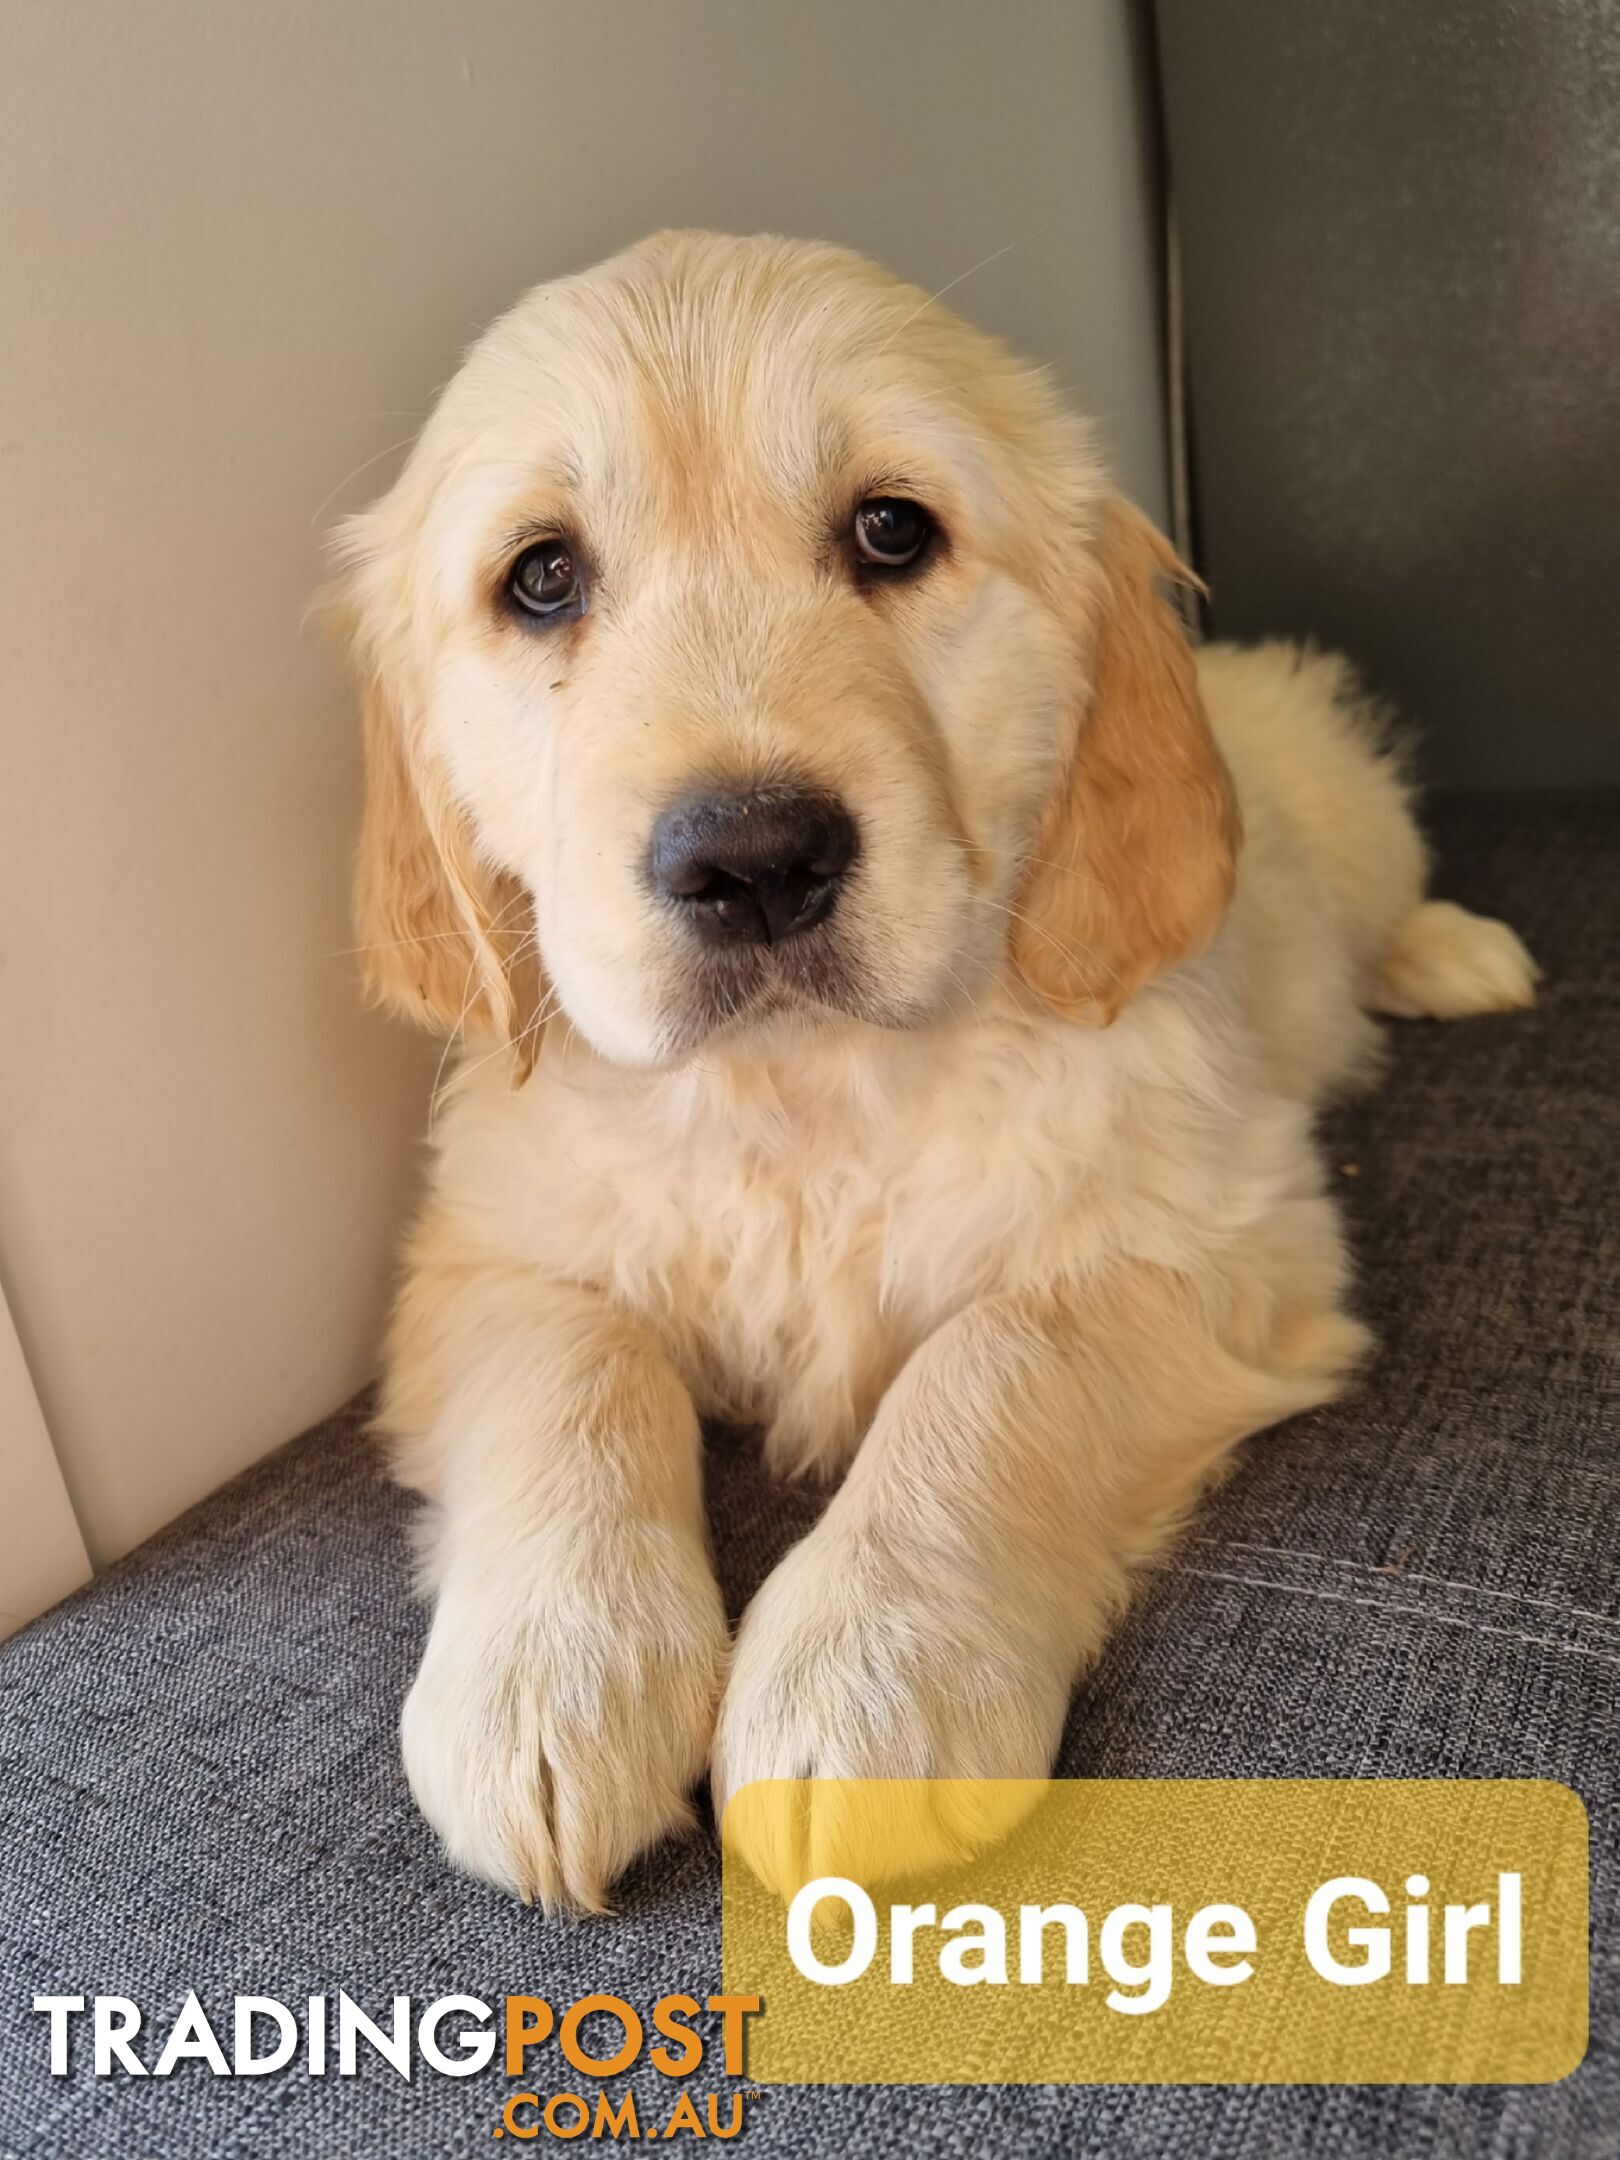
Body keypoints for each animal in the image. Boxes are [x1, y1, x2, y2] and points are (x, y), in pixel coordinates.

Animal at [339, 227, 1537, 1909]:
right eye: (543, 577)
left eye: (892, 531)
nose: (755, 860)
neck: (807, 1087)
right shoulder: (486, 1253)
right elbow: (571, 1375)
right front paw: (547, 1677)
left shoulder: (1217, 1233)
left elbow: (992, 1368)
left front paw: (865, 1679)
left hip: (1343, 803)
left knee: (1391, 890)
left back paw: (1453, 956)